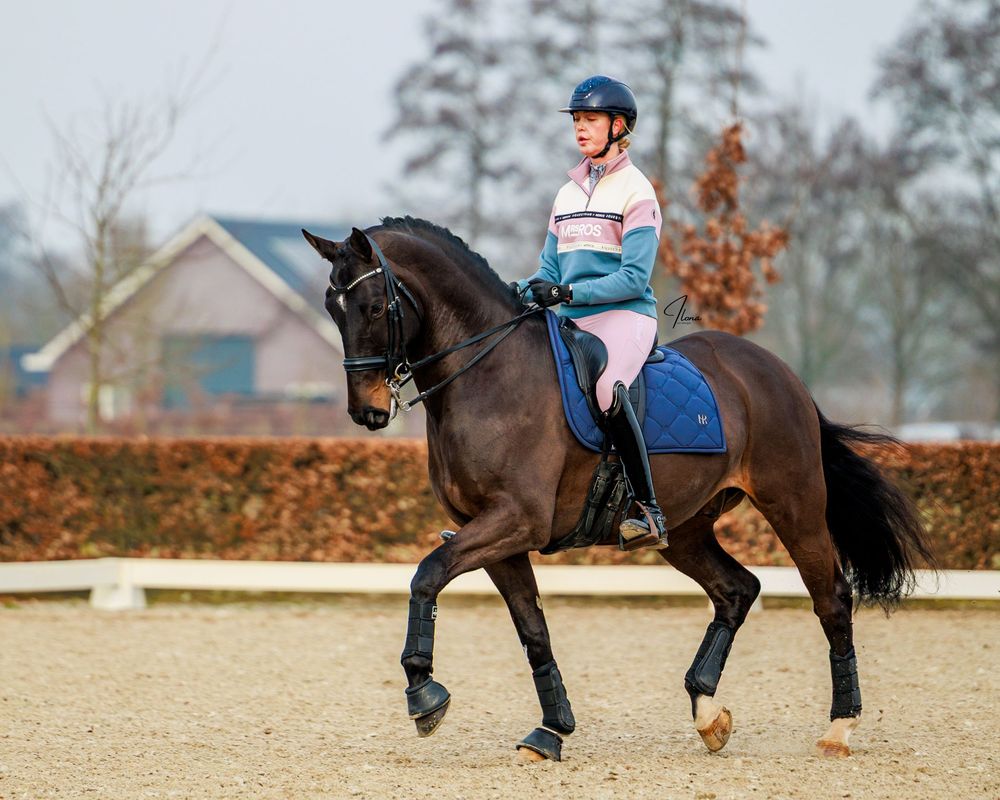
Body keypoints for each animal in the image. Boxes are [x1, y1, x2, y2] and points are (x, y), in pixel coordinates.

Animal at [302, 217, 932, 762]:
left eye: (375, 306)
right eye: (333, 309)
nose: (366, 413)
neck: (485, 374)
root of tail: (779, 373)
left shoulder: (515, 520)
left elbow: (426, 574)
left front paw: (423, 694)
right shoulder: (492, 534)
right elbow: (532, 630)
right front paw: (552, 730)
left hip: (793, 506)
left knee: (832, 599)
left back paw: (840, 727)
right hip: (684, 529)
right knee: (737, 589)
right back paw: (708, 713)